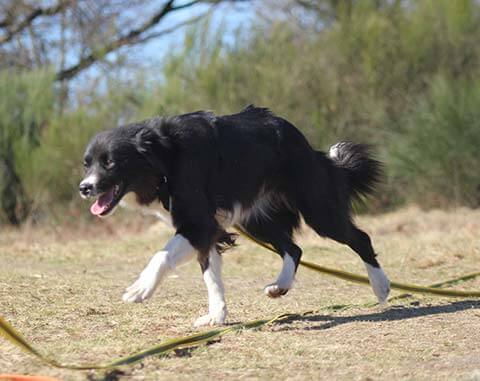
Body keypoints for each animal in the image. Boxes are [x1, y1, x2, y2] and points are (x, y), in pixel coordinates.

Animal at [79, 105, 390, 326]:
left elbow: (162, 255)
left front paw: (140, 288)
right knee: (294, 248)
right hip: (255, 220)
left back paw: (381, 286)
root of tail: (308, 146)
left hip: (318, 209)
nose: (84, 188)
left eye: (110, 162)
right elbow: (211, 276)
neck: (163, 157)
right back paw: (280, 286)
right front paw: (216, 316)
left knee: (360, 238)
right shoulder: (210, 230)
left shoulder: (198, 224)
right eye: (86, 164)